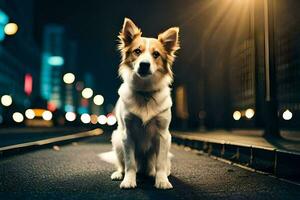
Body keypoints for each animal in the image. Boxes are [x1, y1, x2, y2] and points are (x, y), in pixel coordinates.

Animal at [110, 17, 179, 189]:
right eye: (137, 51)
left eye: (156, 54)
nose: (144, 64)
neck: (145, 92)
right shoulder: (127, 135)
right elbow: (130, 163)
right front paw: (129, 180)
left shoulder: (163, 135)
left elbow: (160, 163)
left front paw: (161, 180)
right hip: (117, 139)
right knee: (122, 164)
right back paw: (119, 174)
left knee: (159, 165)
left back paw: (155, 173)